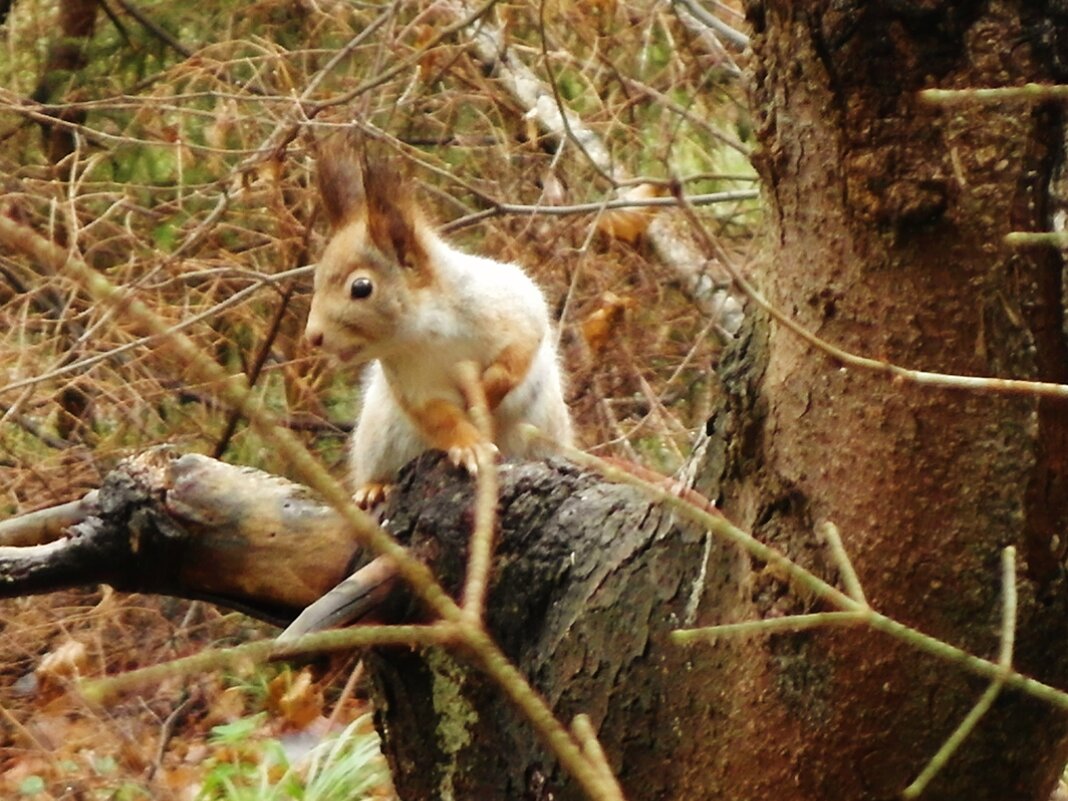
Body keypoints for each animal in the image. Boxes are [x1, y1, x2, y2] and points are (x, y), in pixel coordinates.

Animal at [305, 140, 572, 508]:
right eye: (316, 280)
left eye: (361, 287)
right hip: (378, 436)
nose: (312, 336)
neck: (428, 334)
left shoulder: (516, 310)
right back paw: (375, 487)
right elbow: (439, 418)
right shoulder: (412, 383)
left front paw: (482, 395)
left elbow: (514, 360)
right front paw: (470, 446)